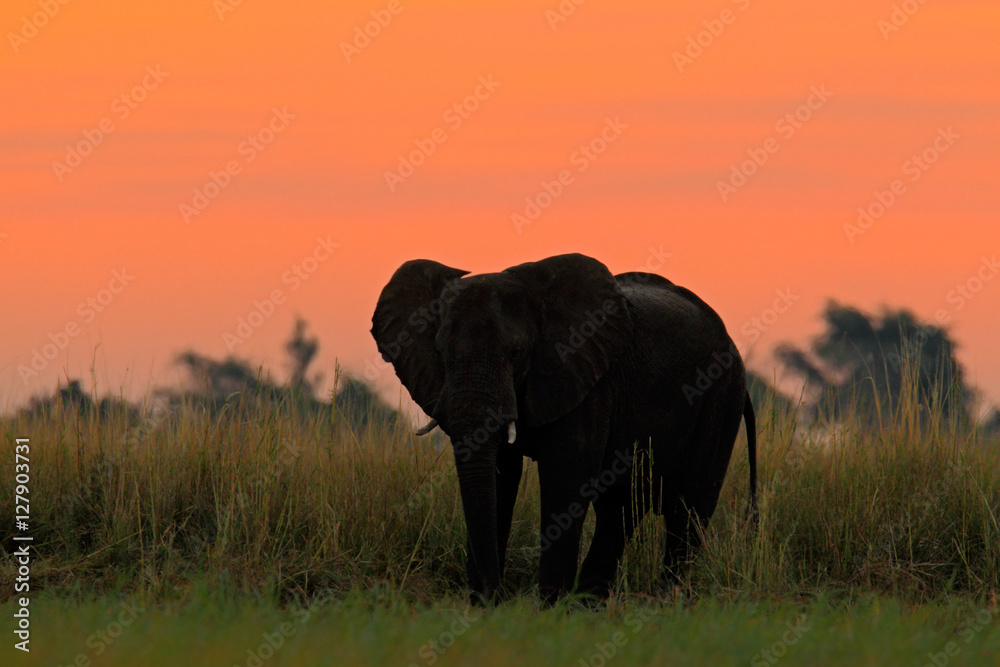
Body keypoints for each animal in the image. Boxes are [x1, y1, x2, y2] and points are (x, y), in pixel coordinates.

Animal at [372, 253, 752, 604]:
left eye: (515, 353)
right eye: (439, 351)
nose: (499, 597)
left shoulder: (585, 376)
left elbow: (565, 476)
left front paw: (548, 608)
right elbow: (499, 477)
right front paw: (485, 605)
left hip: (720, 394)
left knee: (689, 506)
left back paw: (666, 599)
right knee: (620, 508)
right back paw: (589, 603)